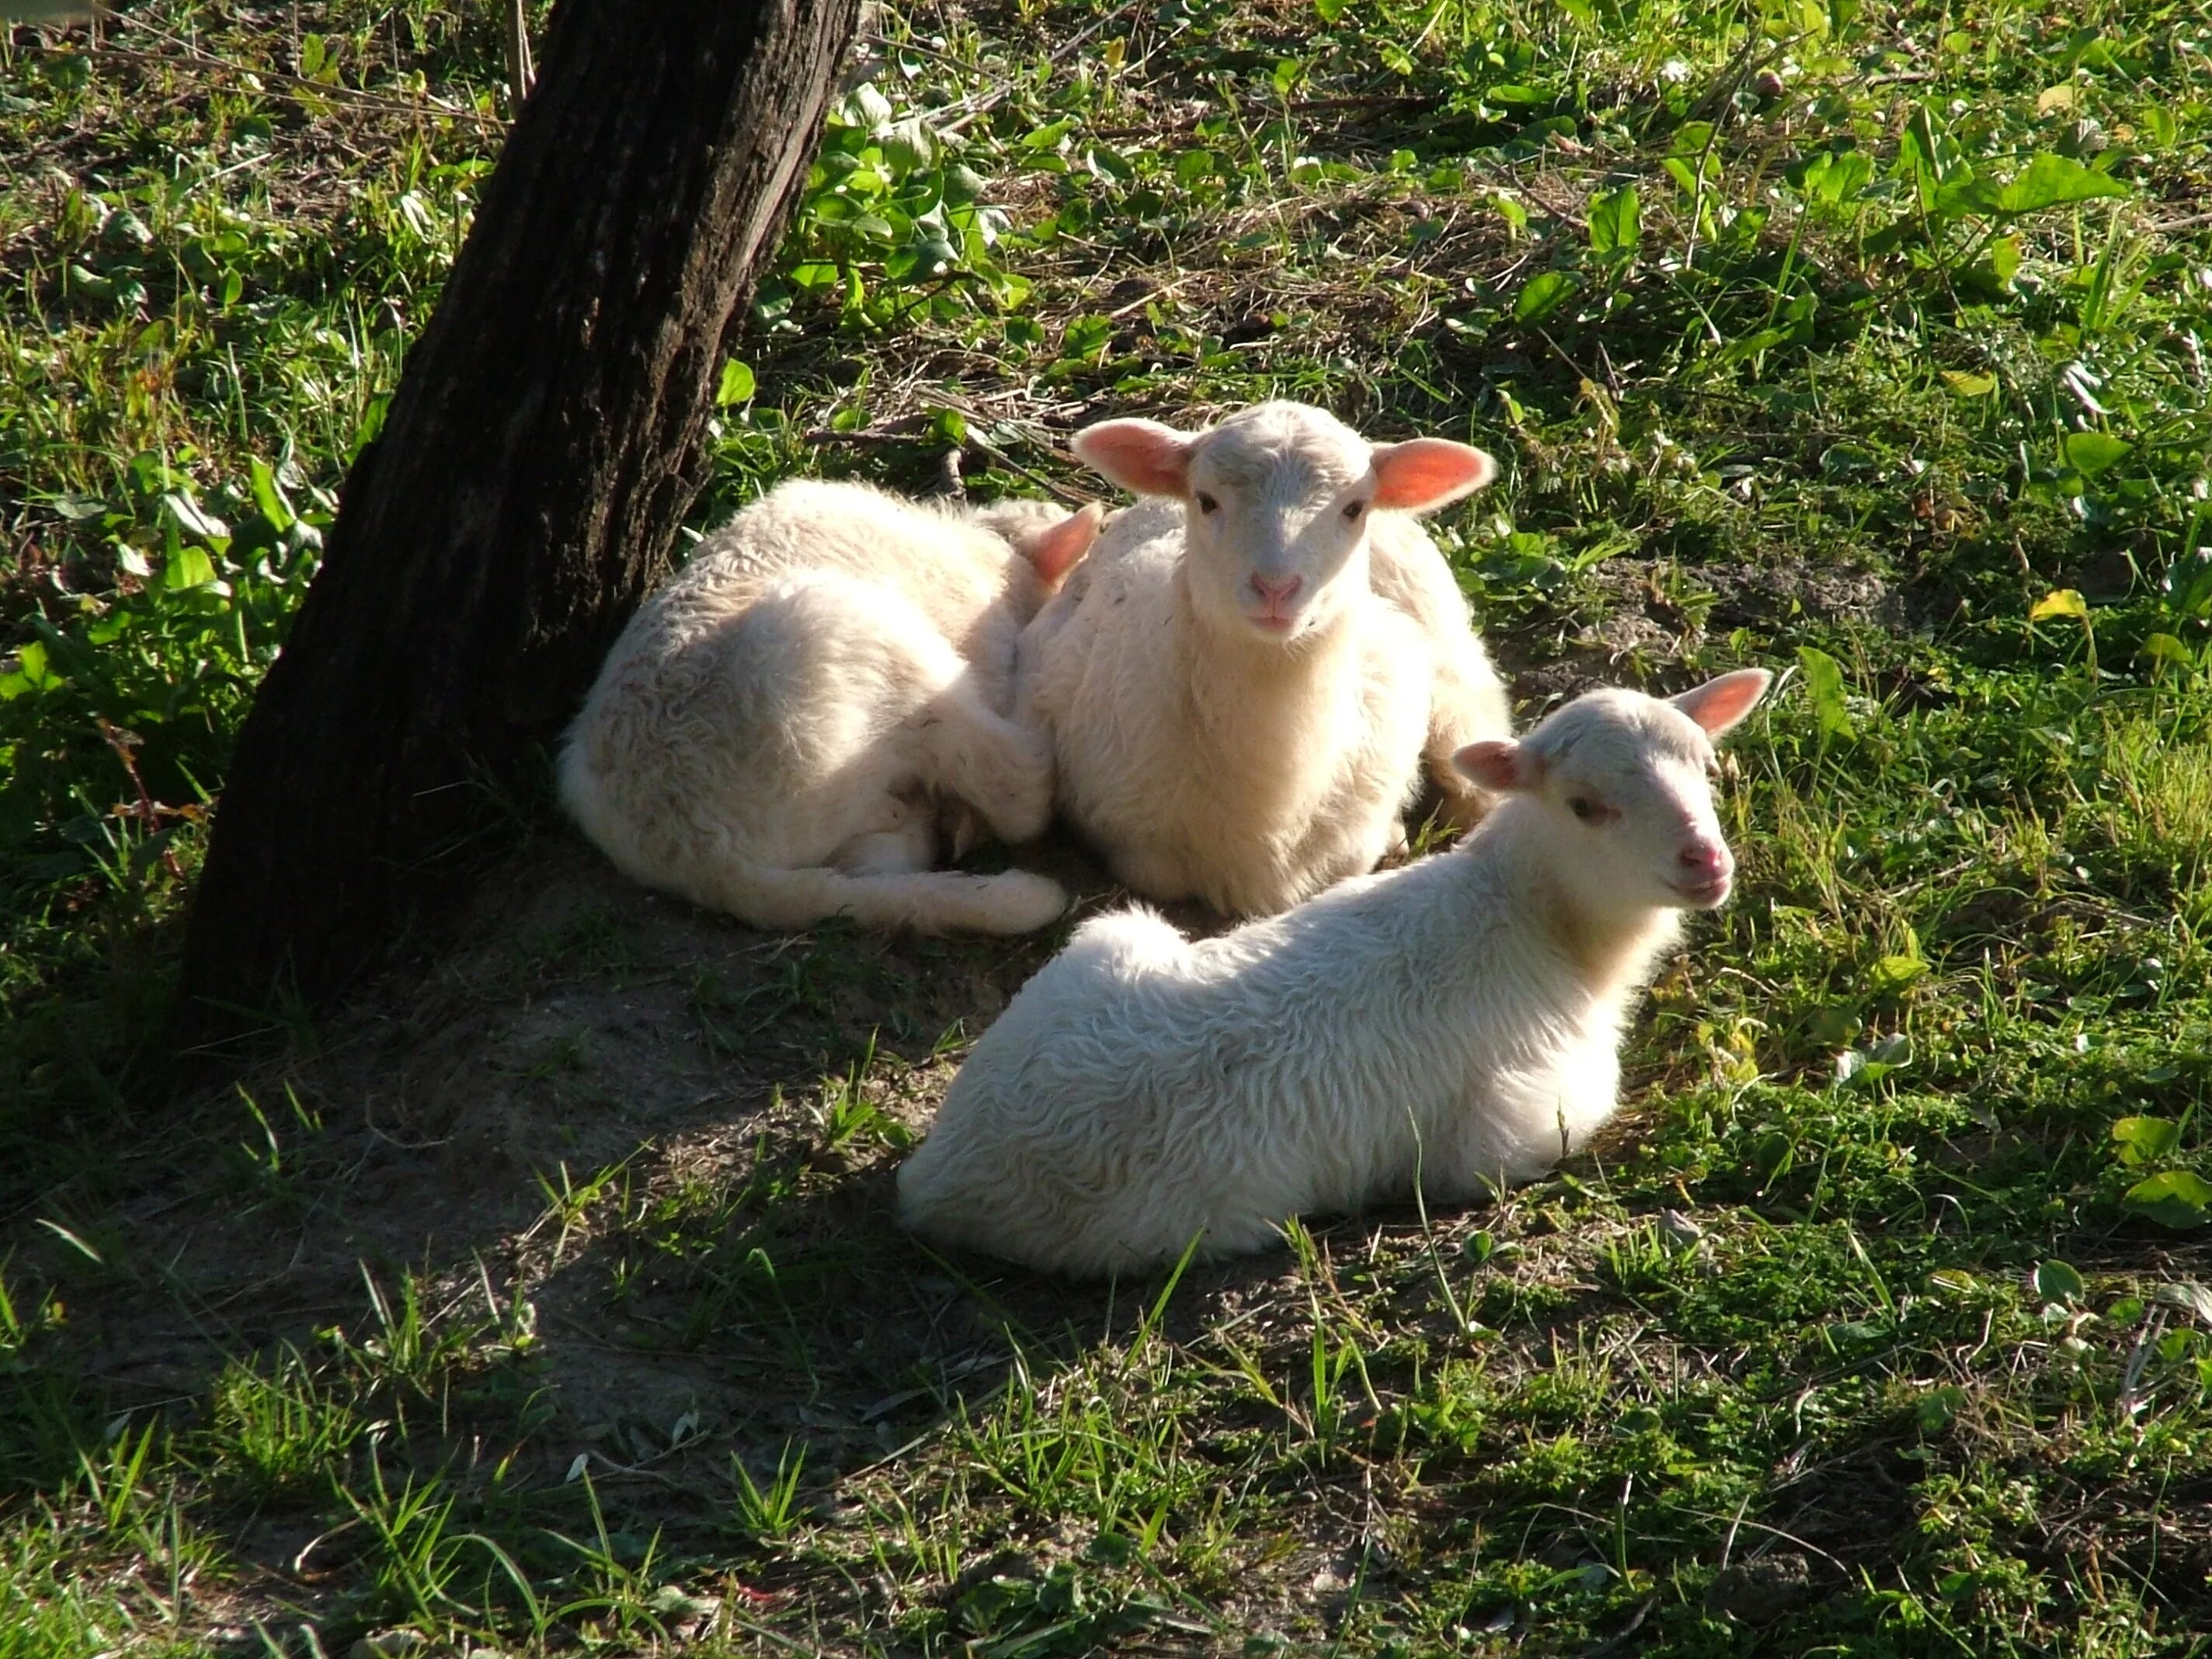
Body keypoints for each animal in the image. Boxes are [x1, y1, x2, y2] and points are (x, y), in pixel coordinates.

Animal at [889, 668, 1769, 1282]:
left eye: (1705, 764)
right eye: (1585, 805)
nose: (1706, 862)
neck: (1532, 916)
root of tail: (939, 1176)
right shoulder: (1518, 1124)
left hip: (1109, 942)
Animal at [1021, 402, 1522, 924]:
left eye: (1354, 508)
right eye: (1206, 500)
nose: (1276, 588)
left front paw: (1394, 835)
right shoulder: (1131, 844)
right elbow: (1157, 874)